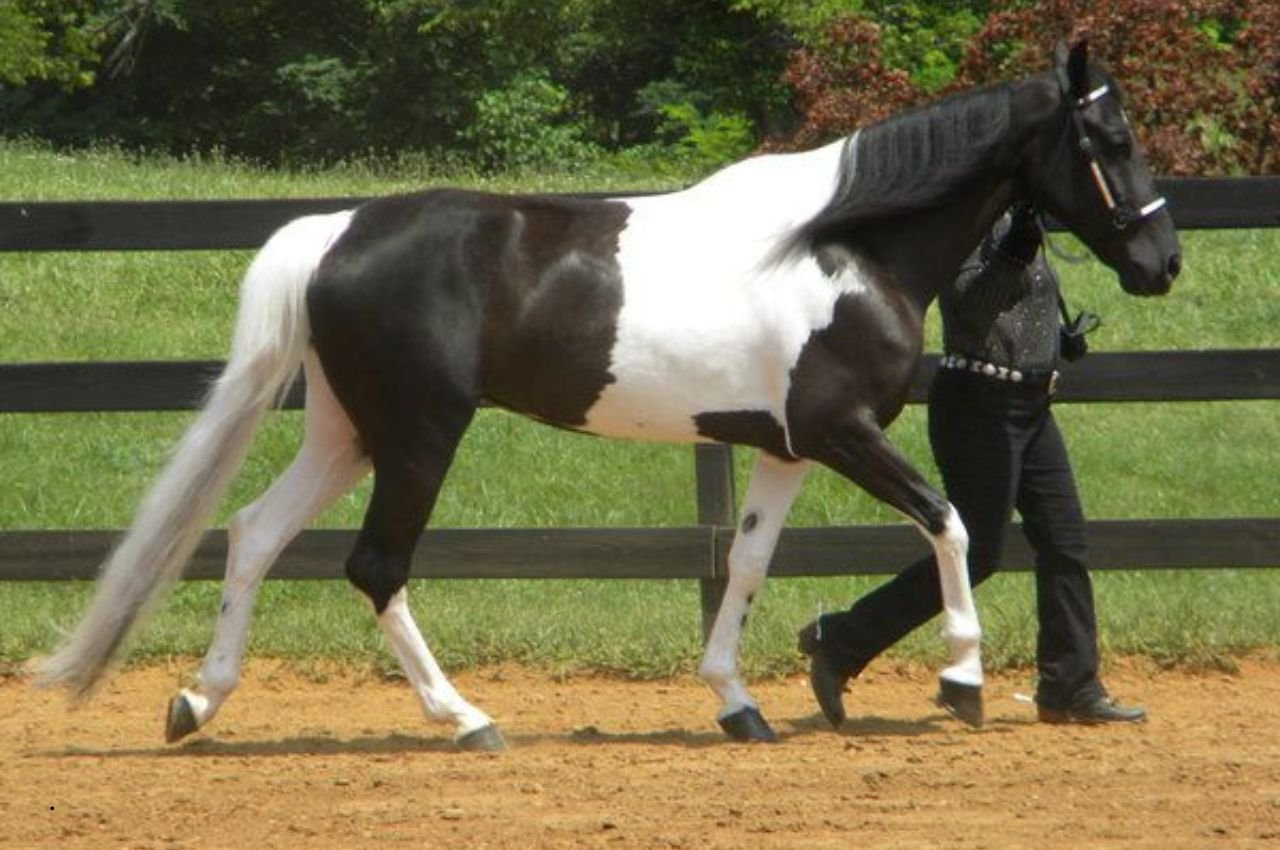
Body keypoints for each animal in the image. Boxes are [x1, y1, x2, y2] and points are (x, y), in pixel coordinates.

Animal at [38, 41, 1179, 749]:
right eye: (1111, 141)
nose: (1161, 263)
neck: (843, 247)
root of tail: (336, 231)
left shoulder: (785, 446)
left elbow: (747, 565)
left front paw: (739, 704)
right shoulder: (840, 431)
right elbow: (948, 522)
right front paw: (962, 681)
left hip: (345, 431)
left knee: (252, 535)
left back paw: (196, 702)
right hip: (418, 436)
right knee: (374, 566)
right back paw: (466, 719)